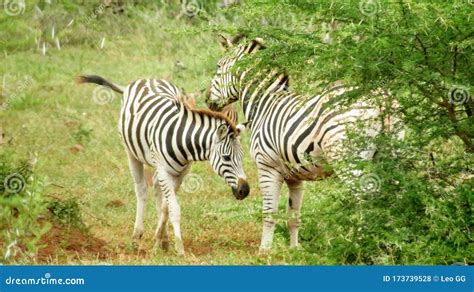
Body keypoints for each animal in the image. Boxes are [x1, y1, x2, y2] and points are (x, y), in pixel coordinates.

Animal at [76, 75, 250, 256]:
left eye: (242, 157)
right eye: (226, 157)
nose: (245, 191)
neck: (183, 142)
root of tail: (145, 79)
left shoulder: (181, 173)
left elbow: (167, 207)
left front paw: (159, 238)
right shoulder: (165, 171)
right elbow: (174, 208)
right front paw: (180, 249)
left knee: (156, 189)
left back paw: (163, 239)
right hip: (132, 153)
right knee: (141, 189)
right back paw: (136, 235)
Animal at [206, 36, 402, 251]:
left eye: (218, 67)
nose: (207, 100)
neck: (264, 105)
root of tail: (381, 97)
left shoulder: (267, 167)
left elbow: (269, 214)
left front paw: (264, 250)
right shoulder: (295, 177)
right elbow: (293, 217)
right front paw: (294, 250)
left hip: (348, 160)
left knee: (364, 198)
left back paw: (359, 246)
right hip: (394, 153)